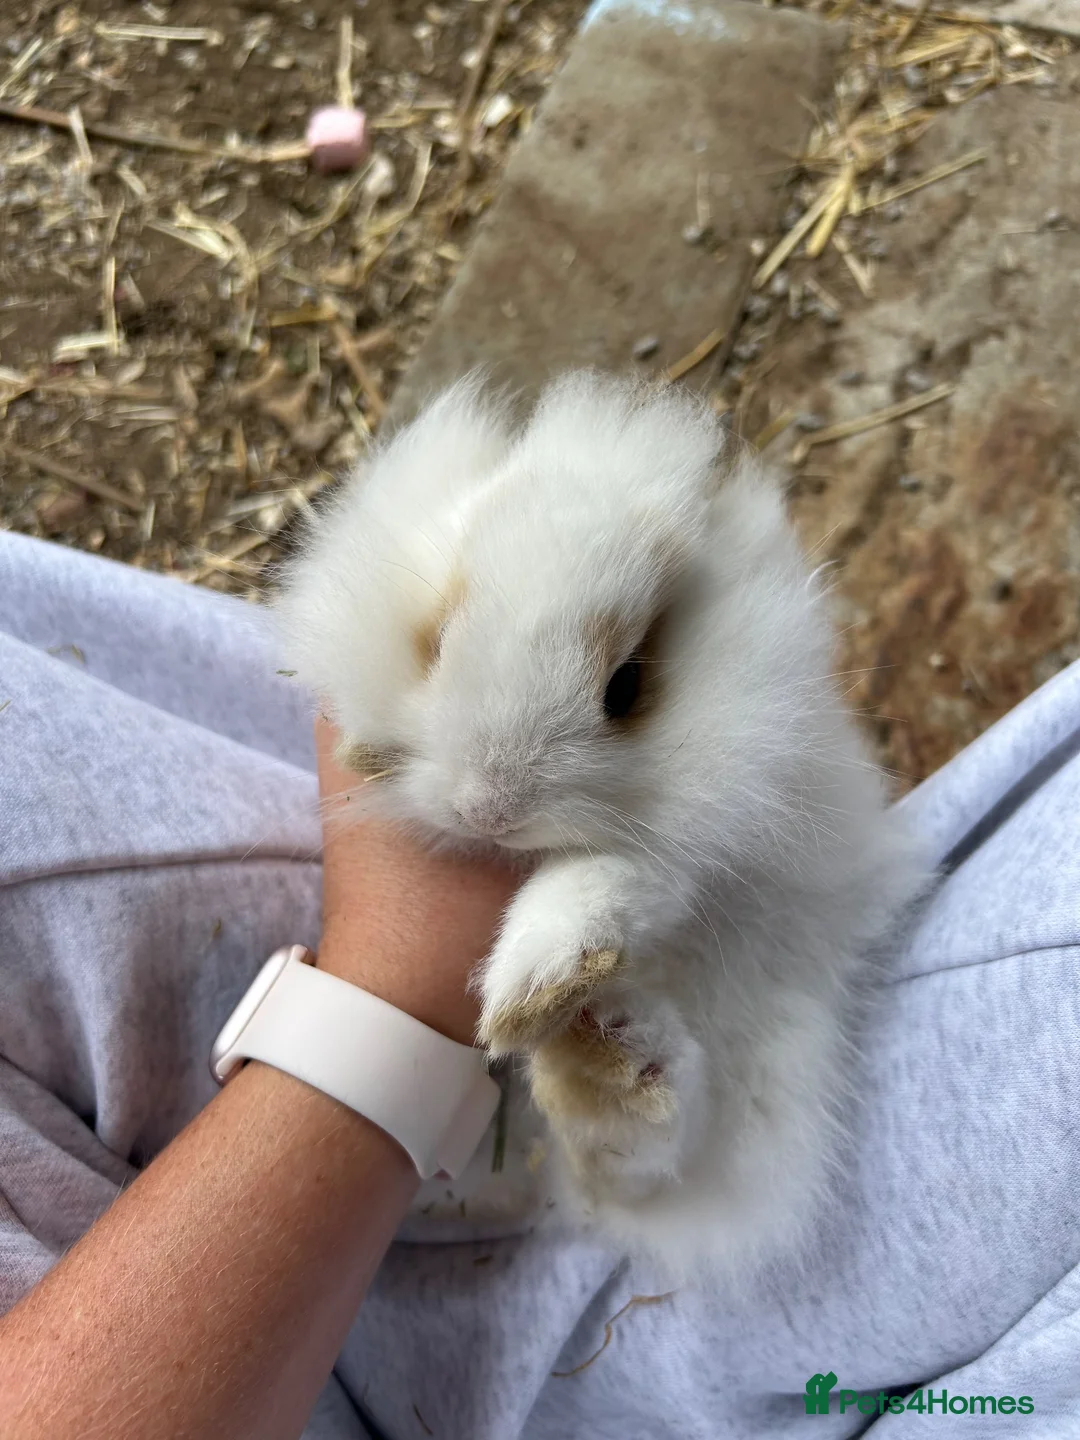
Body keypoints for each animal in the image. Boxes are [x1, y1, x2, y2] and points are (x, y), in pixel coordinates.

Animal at [274, 370, 929, 1278]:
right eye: (435, 643)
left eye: (627, 686)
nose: (490, 809)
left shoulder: (710, 830)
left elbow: (612, 883)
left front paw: (531, 989)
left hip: (771, 1062)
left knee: (649, 1167)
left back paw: (604, 1048)